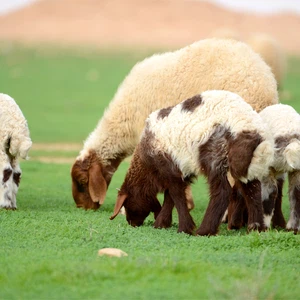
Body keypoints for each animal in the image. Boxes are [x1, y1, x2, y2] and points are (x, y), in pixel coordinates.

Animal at [109, 90, 274, 236]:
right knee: (252, 190)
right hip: (246, 161)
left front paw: (183, 228)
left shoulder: (168, 167)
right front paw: (162, 223)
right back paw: (255, 228)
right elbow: (170, 197)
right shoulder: (182, 171)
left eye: (126, 204)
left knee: (222, 192)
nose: (131, 223)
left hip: (214, 154)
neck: (146, 165)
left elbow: (176, 196)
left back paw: (205, 231)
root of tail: (249, 127)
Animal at [227, 104, 300, 233]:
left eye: (232, 198)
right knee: (296, 193)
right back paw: (293, 228)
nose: (231, 226)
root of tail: (292, 138)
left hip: (268, 166)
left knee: (269, 192)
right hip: (294, 169)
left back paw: (264, 225)